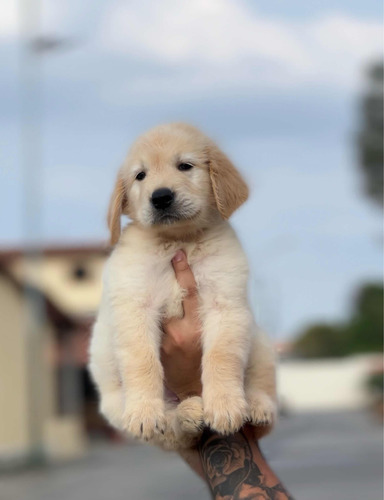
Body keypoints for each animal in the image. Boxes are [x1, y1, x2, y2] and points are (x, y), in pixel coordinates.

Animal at [88, 122, 276, 450]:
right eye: (140, 175)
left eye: (185, 166)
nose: (161, 197)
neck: (178, 241)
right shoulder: (134, 307)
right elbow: (143, 361)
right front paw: (144, 412)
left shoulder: (225, 305)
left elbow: (221, 357)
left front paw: (225, 406)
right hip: (112, 397)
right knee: (173, 432)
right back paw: (187, 414)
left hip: (260, 342)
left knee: (260, 387)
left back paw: (256, 406)